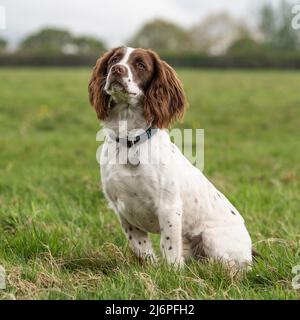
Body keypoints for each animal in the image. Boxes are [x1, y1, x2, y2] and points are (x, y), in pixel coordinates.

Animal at [88, 46, 252, 268]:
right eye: (114, 59)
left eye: (141, 65)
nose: (117, 69)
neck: (130, 142)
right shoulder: (122, 209)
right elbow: (140, 247)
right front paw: (150, 268)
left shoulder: (168, 206)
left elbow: (169, 246)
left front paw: (172, 272)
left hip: (213, 240)